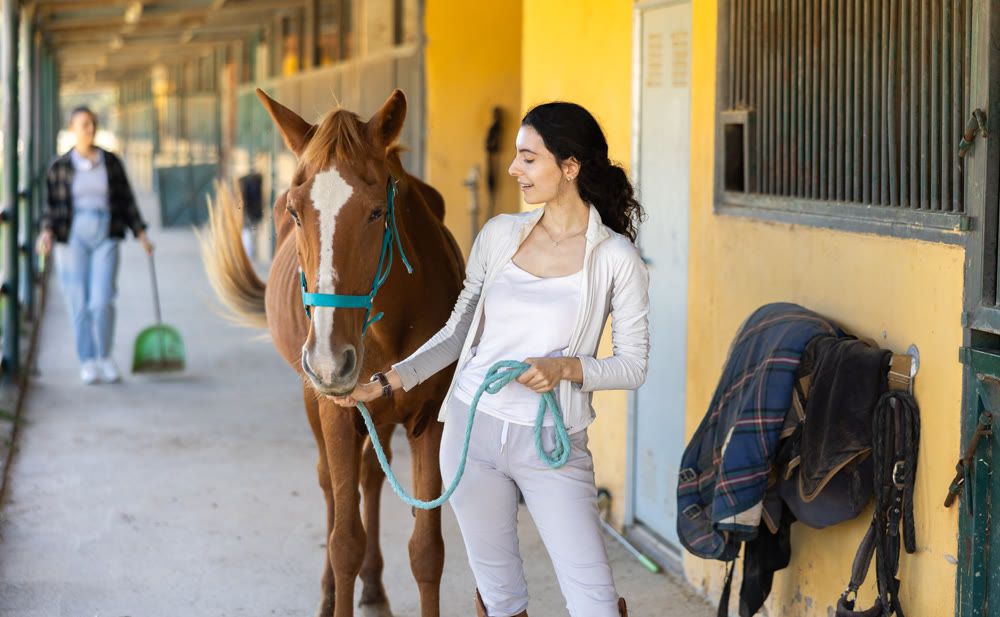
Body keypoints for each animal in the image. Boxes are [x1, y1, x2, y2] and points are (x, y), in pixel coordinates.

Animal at [199, 89, 465, 617]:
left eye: (377, 212)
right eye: (295, 211)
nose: (327, 359)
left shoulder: (429, 420)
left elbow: (427, 551)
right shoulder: (337, 413)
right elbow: (345, 542)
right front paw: (338, 584)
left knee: (371, 478)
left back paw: (375, 586)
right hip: (315, 400)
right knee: (329, 484)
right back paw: (330, 591)